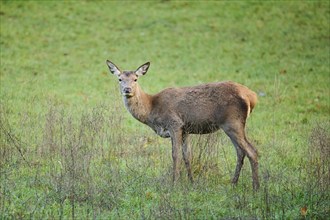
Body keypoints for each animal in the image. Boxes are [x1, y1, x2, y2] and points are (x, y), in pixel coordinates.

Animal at [105, 60, 260, 191]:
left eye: (135, 79)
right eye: (120, 79)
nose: (127, 89)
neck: (152, 110)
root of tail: (252, 97)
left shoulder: (175, 124)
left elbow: (176, 155)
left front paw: (174, 183)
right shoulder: (186, 130)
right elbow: (187, 156)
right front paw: (192, 182)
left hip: (232, 122)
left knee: (251, 151)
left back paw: (256, 188)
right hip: (230, 125)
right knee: (240, 152)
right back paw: (233, 183)